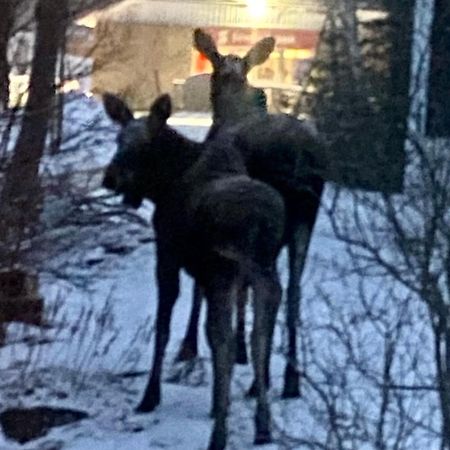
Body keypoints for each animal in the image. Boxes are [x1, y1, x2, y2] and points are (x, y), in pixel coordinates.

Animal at [102, 92, 284, 450]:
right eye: (118, 139)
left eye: (144, 143)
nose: (110, 178)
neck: (164, 184)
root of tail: (259, 225)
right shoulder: (205, 273)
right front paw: (215, 403)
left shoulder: (168, 255)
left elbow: (163, 328)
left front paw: (150, 397)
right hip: (264, 273)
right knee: (259, 336)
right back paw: (262, 426)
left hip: (226, 271)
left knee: (228, 341)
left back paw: (219, 436)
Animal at [176, 27, 326, 398]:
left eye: (213, 69)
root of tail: (301, 160)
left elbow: (208, 288)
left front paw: (190, 346)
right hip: (303, 221)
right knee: (293, 289)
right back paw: (289, 379)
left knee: (271, 288)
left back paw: (264, 381)